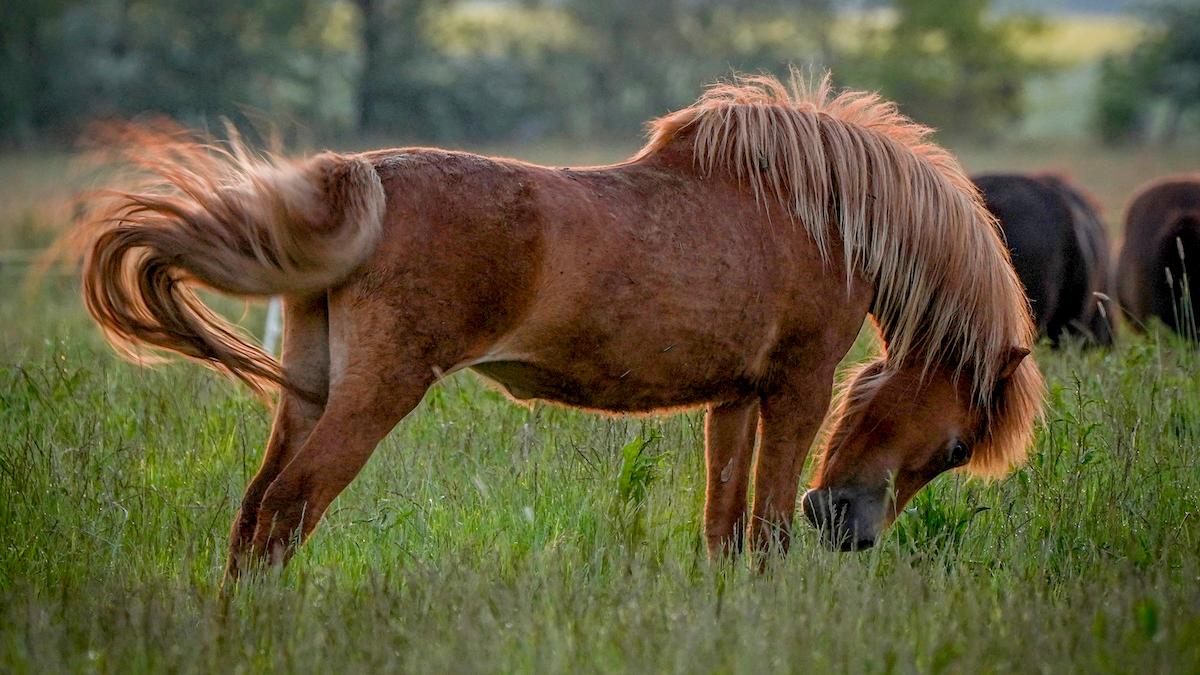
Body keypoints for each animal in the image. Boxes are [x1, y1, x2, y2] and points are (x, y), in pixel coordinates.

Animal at [75, 74, 1041, 578]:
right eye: (957, 445)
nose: (850, 529)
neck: (813, 211)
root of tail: (358, 175)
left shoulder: (733, 399)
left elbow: (724, 527)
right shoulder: (795, 389)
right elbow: (763, 529)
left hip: (311, 391)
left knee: (254, 512)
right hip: (375, 395)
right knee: (286, 509)